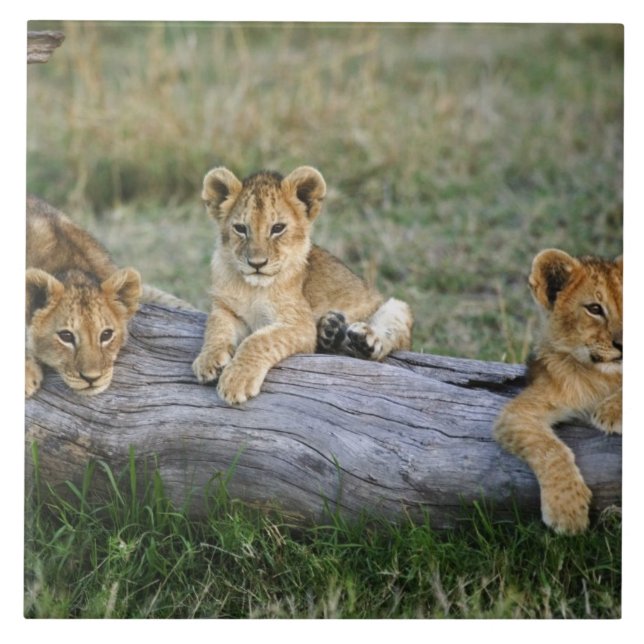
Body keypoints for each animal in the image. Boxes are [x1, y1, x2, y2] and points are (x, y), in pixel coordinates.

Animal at [192, 166, 413, 405]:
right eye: (241, 228)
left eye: (277, 228)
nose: (257, 264)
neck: (252, 287)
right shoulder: (225, 308)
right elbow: (215, 327)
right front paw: (208, 360)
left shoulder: (300, 324)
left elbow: (259, 340)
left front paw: (236, 380)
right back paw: (331, 329)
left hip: (395, 307)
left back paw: (361, 340)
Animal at [493, 249, 622, 534]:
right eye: (594, 309)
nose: (624, 343)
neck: (604, 376)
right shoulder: (517, 413)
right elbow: (550, 449)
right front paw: (567, 511)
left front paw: (611, 411)